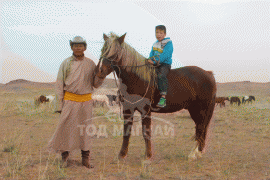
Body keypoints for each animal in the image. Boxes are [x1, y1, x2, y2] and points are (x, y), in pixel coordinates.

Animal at [95, 33, 217, 161]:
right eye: (103, 49)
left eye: (115, 52)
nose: (99, 71)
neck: (137, 78)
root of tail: (208, 74)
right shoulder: (128, 110)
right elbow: (126, 132)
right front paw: (122, 154)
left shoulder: (145, 111)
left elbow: (146, 132)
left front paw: (148, 155)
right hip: (194, 110)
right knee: (200, 129)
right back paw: (198, 152)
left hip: (201, 110)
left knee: (201, 128)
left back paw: (194, 154)